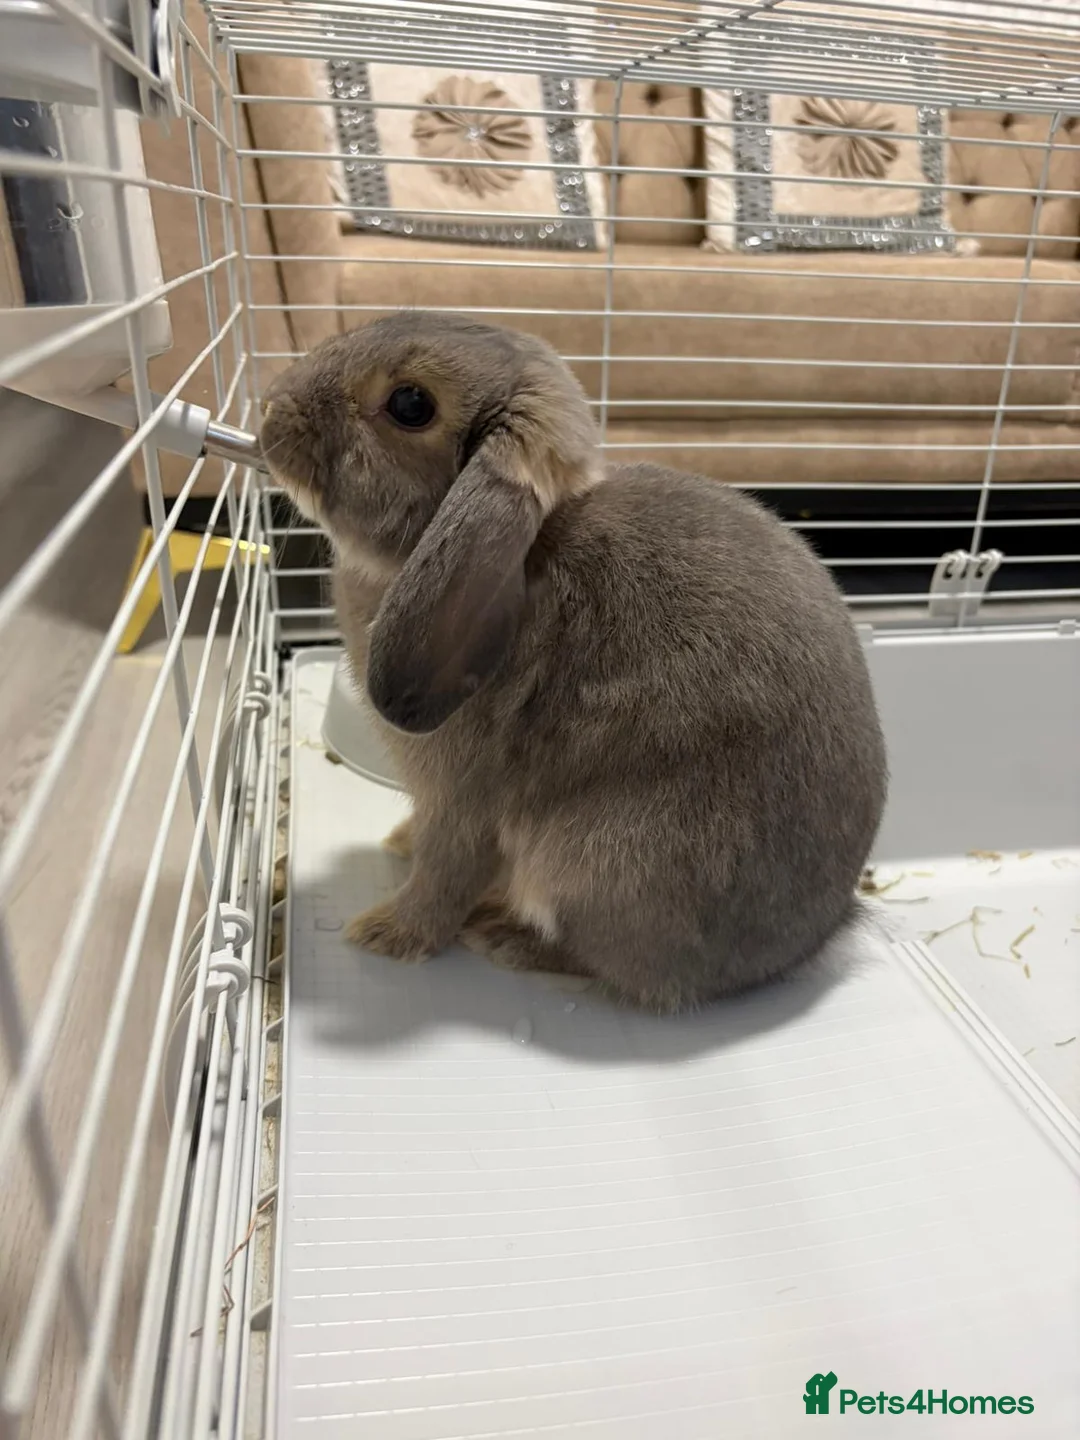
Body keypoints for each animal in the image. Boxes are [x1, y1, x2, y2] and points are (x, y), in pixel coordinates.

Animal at [260, 311, 887, 1013]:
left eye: (411, 405)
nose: (269, 411)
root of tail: (814, 937)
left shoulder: (464, 804)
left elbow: (445, 876)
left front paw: (385, 933)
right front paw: (398, 842)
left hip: (595, 862)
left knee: (612, 968)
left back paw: (505, 936)